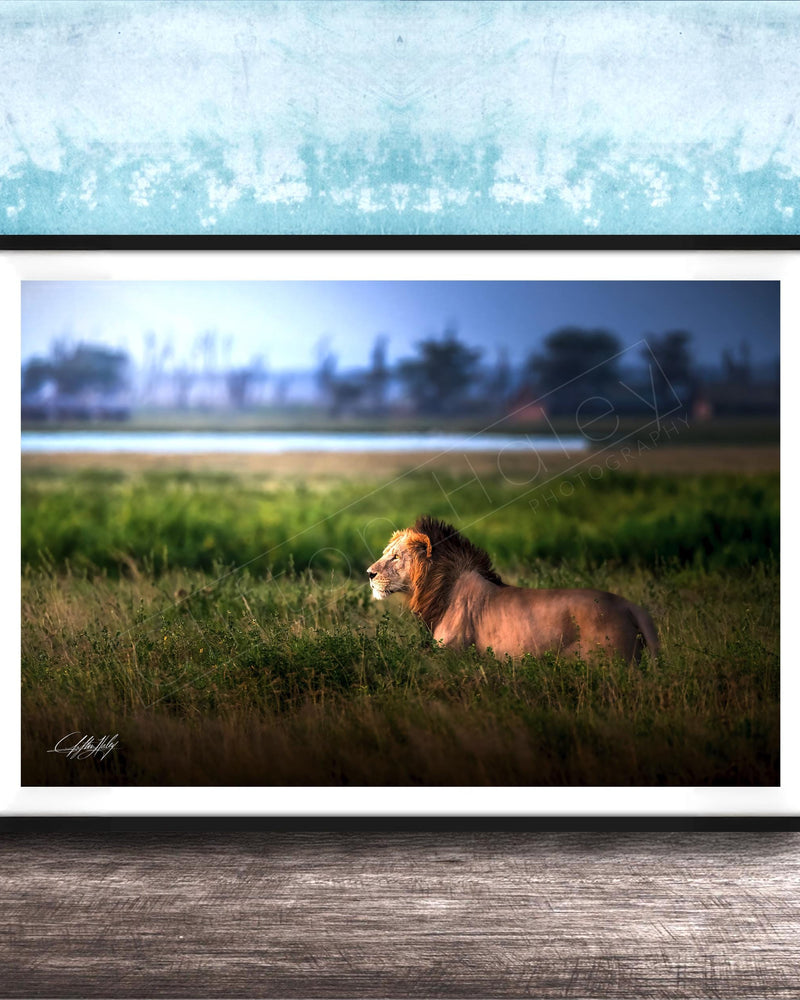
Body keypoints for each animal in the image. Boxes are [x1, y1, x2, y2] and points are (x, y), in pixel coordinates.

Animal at [366, 516, 658, 663]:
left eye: (395, 557)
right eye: (386, 553)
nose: (369, 574)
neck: (440, 587)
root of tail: (631, 607)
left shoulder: (451, 654)